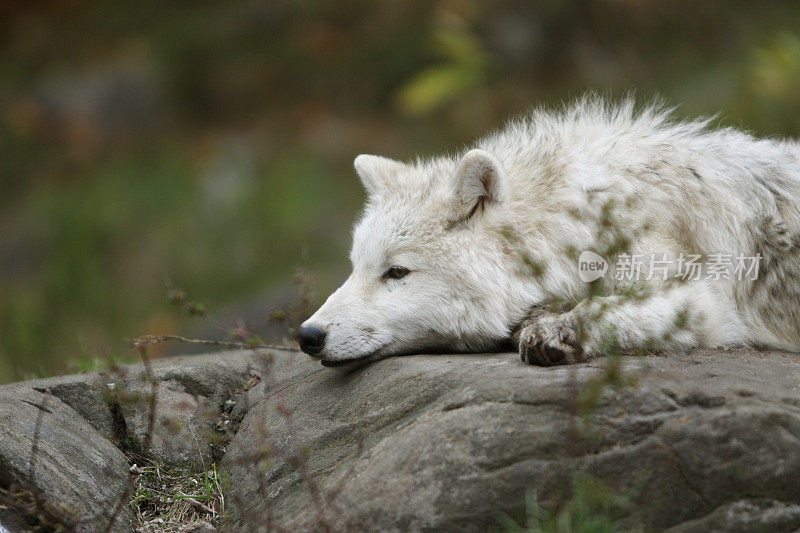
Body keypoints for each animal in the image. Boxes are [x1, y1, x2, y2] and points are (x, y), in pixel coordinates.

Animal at [296, 98, 800, 366]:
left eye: (397, 272)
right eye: (356, 268)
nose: (307, 335)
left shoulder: (706, 303)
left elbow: (609, 309)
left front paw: (556, 331)